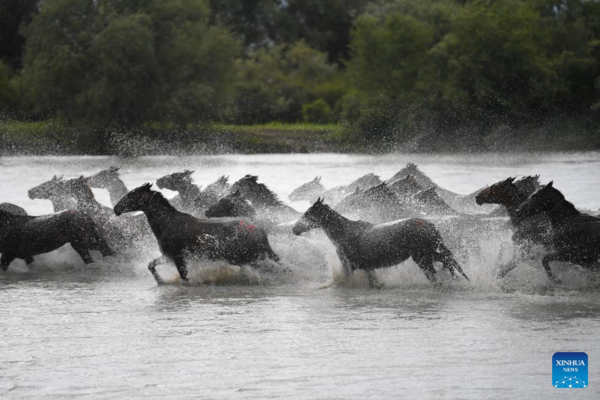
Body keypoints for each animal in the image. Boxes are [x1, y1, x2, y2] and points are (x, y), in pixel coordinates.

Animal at [114, 184, 282, 284]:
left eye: (131, 194)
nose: (116, 208)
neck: (165, 224)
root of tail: (261, 232)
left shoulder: (178, 257)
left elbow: (185, 279)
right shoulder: (168, 256)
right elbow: (150, 265)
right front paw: (160, 281)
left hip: (245, 258)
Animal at [292, 198, 468, 286]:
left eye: (308, 214)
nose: (295, 229)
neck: (345, 233)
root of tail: (429, 225)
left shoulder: (350, 266)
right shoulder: (368, 268)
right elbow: (374, 283)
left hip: (423, 257)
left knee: (446, 261)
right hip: (425, 256)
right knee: (446, 261)